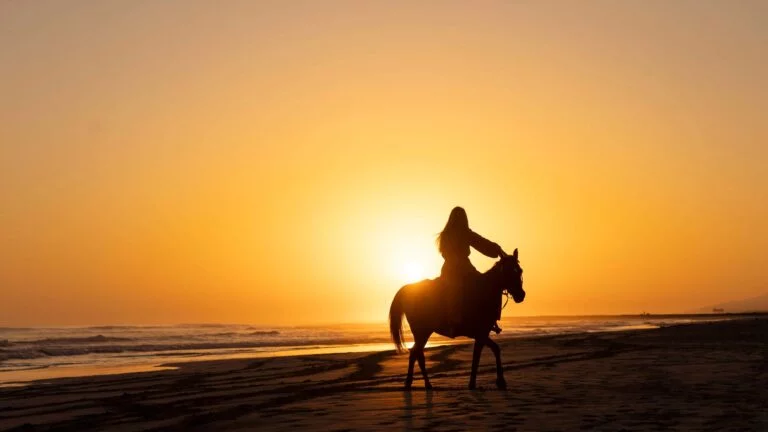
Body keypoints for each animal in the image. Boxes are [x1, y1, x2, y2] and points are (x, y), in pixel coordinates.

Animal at [389, 248, 525, 390]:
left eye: (520, 270)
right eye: (508, 270)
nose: (521, 295)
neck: (484, 292)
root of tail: (408, 289)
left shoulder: (482, 334)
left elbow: (495, 349)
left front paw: (500, 381)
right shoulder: (481, 335)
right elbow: (477, 357)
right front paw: (473, 383)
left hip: (422, 333)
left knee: (416, 353)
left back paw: (417, 383)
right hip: (422, 332)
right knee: (417, 353)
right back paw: (420, 383)